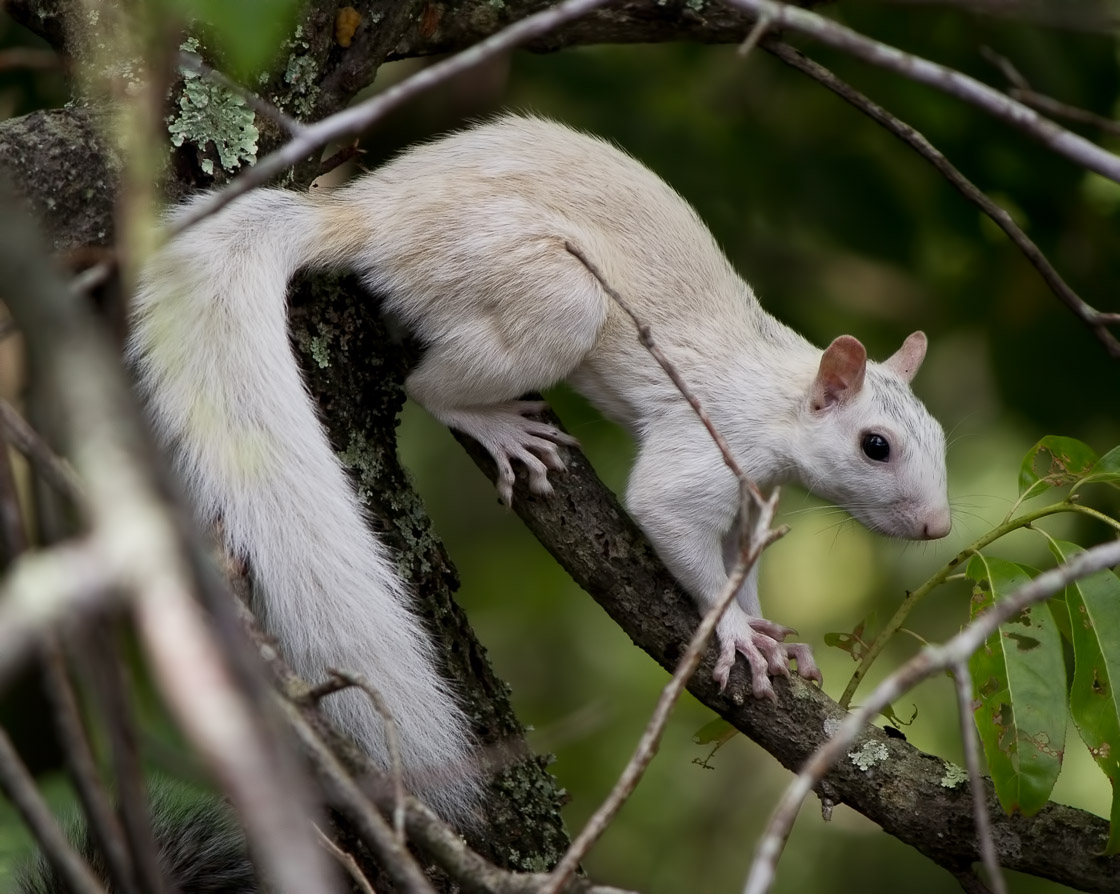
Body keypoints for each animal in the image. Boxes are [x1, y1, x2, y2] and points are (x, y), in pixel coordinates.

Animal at [124, 117, 945, 824]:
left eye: (937, 438)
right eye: (876, 446)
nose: (938, 525)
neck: (777, 399)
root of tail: (371, 220)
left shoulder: (755, 497)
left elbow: (742, 563)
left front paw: (778, 635)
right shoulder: (710, 438)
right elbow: (670, 518)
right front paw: (739, 635)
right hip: (549, 294)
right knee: (428, 384)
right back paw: (497, 426)